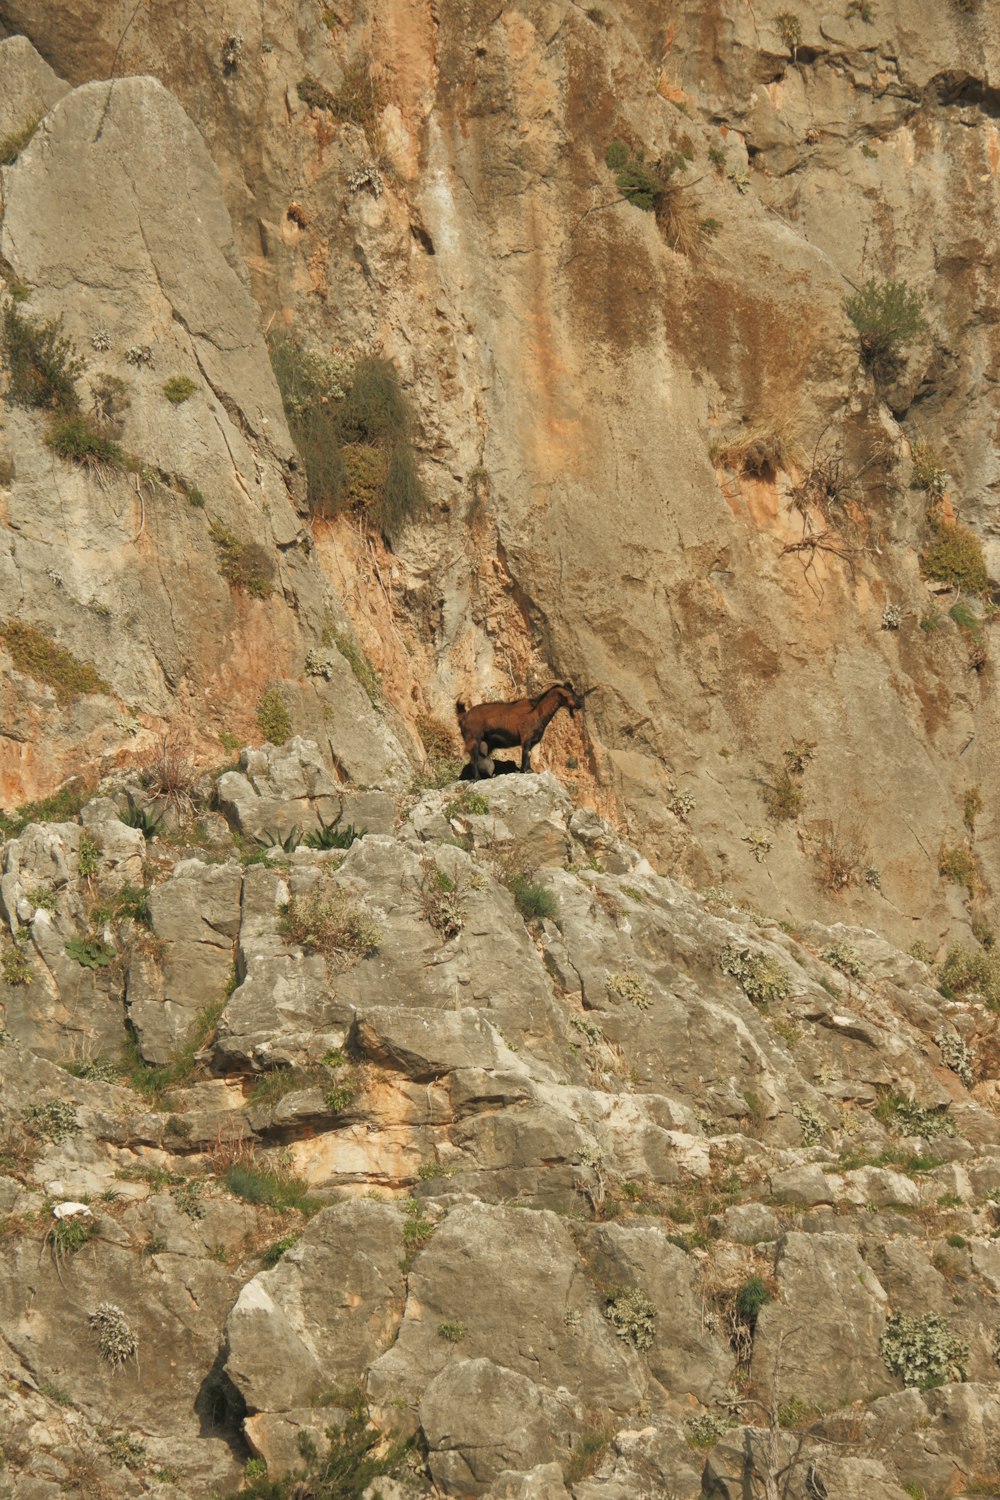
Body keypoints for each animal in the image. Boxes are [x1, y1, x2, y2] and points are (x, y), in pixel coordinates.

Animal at [455, 684, 587, 780]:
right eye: (570, 694)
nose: (581, 703)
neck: (537, 712)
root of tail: (464, 716)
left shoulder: (532, 741)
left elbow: (528, 755)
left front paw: (530, 770)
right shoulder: (526, 738)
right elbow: (525, 754)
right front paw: (525, 771)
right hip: (472, 739)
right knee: (473, 759)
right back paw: (477, 778)